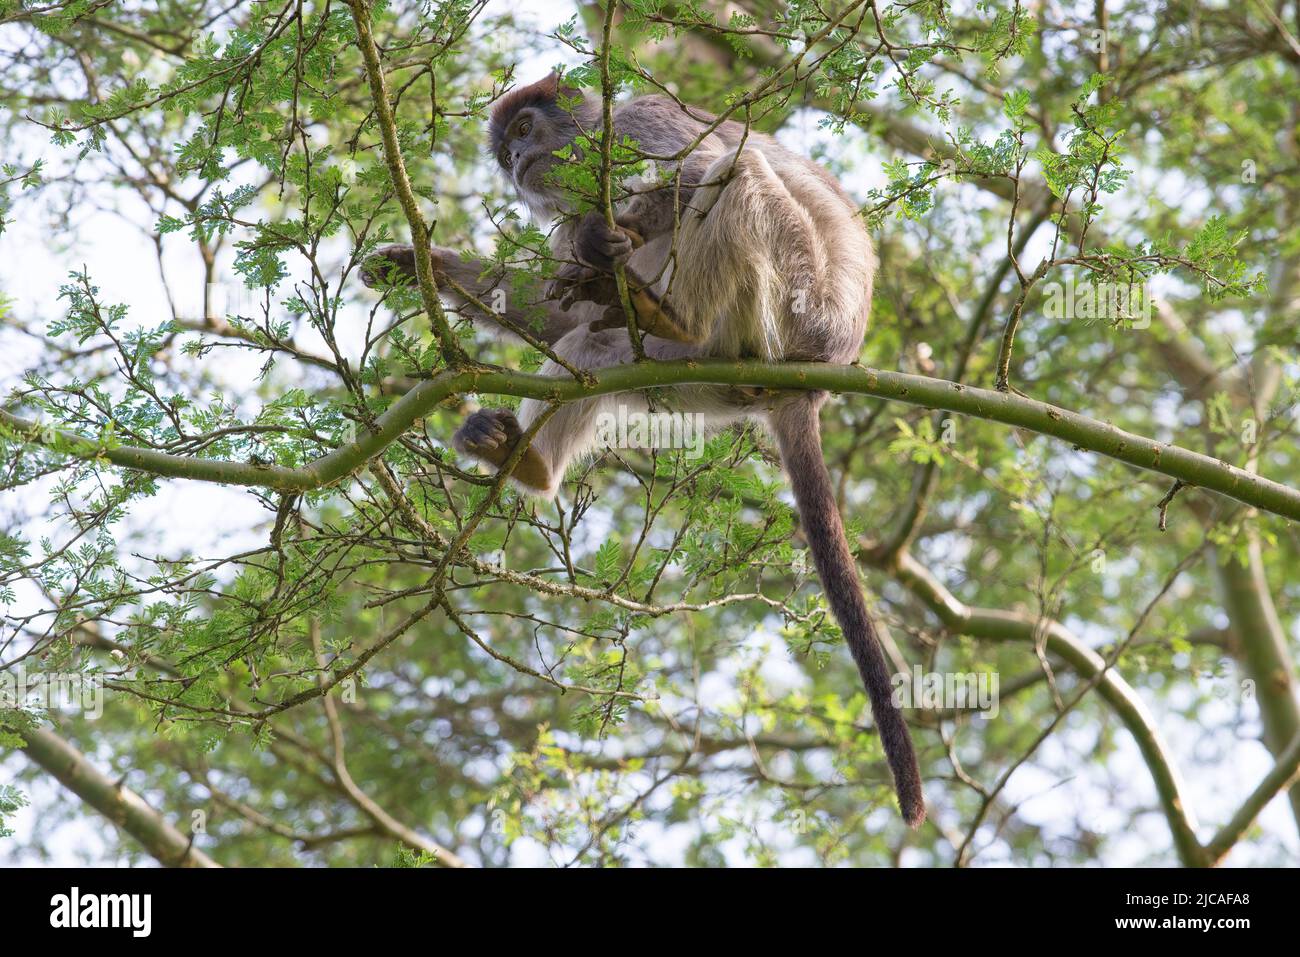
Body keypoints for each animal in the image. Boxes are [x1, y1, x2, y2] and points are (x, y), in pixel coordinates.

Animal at [366, 70, 925, 826]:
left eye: (524, 132)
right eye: (505, 154)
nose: (517, 163)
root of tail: (814, 376)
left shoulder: (640, 123)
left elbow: (698, 165)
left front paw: (605, 231)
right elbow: (559, 314)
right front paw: (426, 265)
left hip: (793, 304)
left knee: (735, 170)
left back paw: (668, 308)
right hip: (690, 376)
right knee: (586, 341)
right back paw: (529, 460)